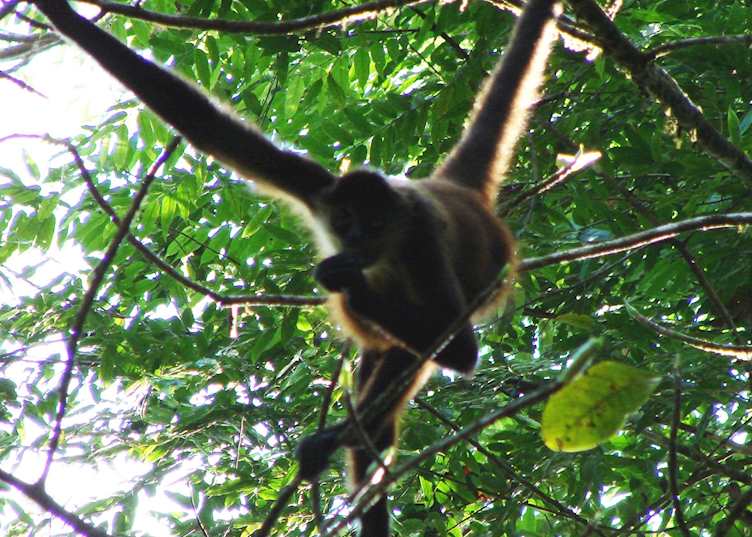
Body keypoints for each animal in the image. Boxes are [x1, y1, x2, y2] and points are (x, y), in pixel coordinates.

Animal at [32, 0, 560, 535]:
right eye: (345, 219)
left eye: (373, 223)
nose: (354, 240)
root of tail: (457, 191)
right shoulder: (320, 187)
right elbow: (206, 126)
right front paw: (63, 17)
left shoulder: (421, 238)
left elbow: (461, 350)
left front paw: (344, 280)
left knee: (413, 351)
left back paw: (348, 436)